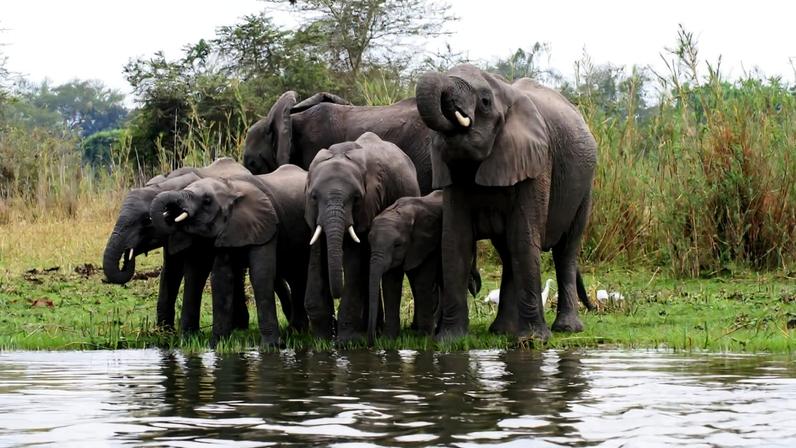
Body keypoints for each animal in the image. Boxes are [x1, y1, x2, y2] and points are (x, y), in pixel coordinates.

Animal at [102, 158, 254, 333]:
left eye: (146, 221)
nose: (127, 257)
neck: (167, 184)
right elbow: (170, 270)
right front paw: (164, 332)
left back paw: (240, 326)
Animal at [150, 174, 283, 346]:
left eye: (207, 201)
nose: (170, 214)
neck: (232, 189)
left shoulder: (260, 226)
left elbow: (261, 274)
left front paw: (271, 347)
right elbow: (215, 276)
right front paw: (209, 345)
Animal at [303, 132, 421, 342]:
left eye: (356, 198)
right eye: (314, 197)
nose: (333, 328)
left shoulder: (368, 205)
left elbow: (354, 260)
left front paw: (346, 341)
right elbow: (316, 256)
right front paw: (321, 339)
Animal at [367, 191, 482, 344]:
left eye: (397, 245)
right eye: (369, 242)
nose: (372, 341)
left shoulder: (428, 243)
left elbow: (422, 281)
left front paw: (424, 338)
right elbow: (390, 284)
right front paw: (388, 340)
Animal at [415, 64, 597, 341]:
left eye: (485, 101)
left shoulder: (537, 160)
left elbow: (524, 237)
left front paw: (533, 340)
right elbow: (455, 240)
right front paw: (449, 340)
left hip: (584, 189)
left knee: (566, 250)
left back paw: (566, 328)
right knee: (508, 251)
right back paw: (503, 330)